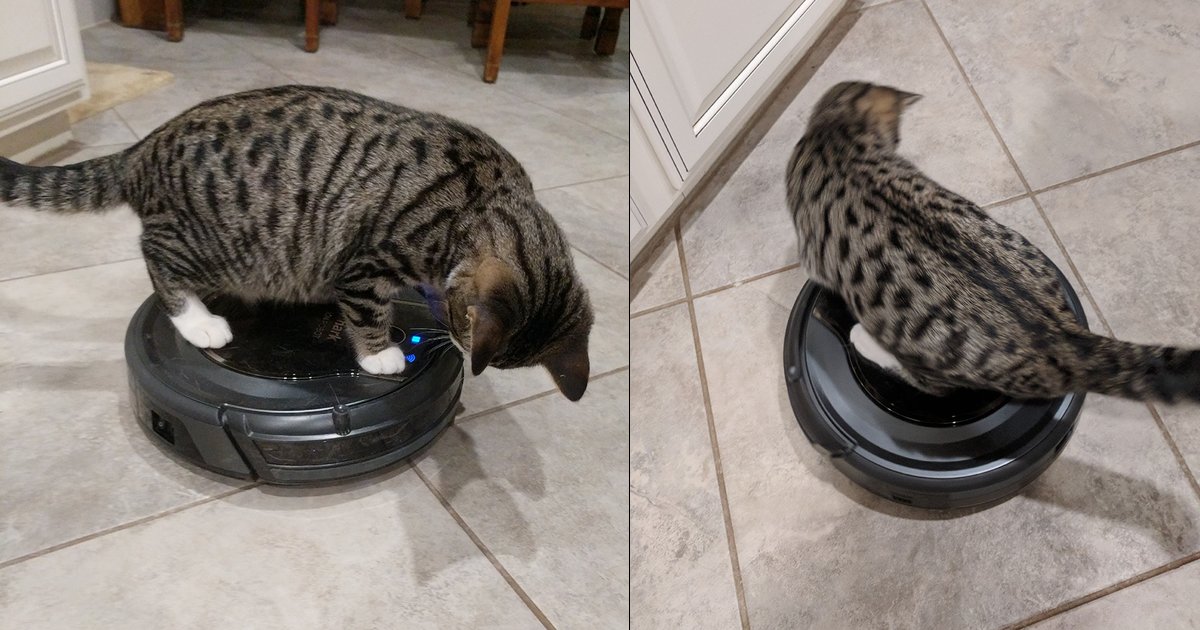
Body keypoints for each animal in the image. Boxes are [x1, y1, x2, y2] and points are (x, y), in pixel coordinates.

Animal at [0, 84, 595, 398]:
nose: (456, 344)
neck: (487, 201)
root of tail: (142, 149)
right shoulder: (365, 265)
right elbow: (368, 313)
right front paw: (382, 354)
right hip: (208, 244)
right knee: (154, 255)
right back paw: (198, 321)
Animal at [782, 79, 1200, 403]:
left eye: (898, 135)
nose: (897, 141)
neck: (839, 132)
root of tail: (1065, 337)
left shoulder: (812, 253)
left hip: (926, 354)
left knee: (935, 386)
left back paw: (861, 337)